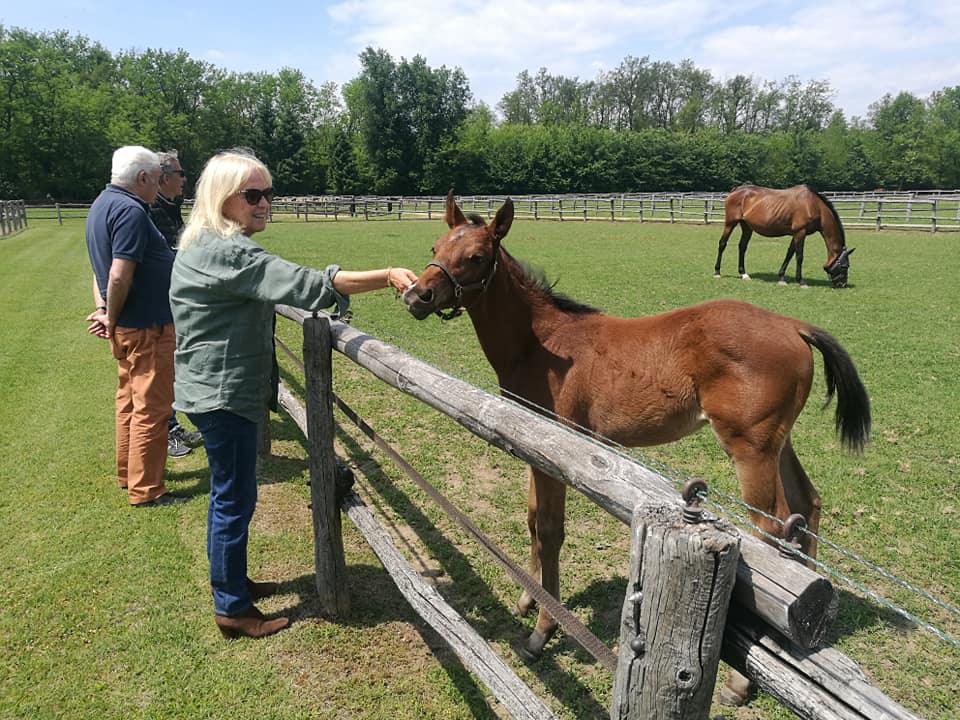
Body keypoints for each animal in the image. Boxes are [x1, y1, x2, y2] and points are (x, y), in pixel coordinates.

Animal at [712, 184, 856, 288]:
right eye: (845, 266)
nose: (842, 284)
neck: (813, 205)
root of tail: (736, 190)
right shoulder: (800, 232)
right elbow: (799, 256)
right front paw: (801, 281)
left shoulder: (796, 234)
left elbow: (789, 254)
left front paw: (781, 277)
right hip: (730, 223)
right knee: (722, 244)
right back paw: (717, 272)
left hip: (747, 226)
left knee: (742, 247)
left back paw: (743, 274)